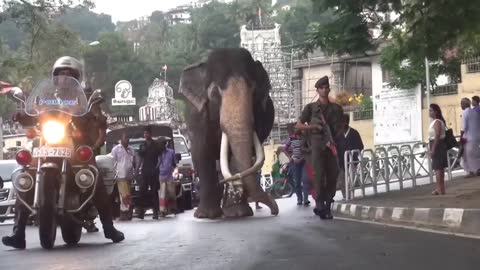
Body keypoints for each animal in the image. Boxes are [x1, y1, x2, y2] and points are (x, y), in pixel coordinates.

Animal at [179, 47, 278, 218]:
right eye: (215, 94)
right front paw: (206, 215)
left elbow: (235, 158)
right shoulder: (197, 118)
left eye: (253, 93)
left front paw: (238, 213)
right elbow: (201, 152)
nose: (274, 211)